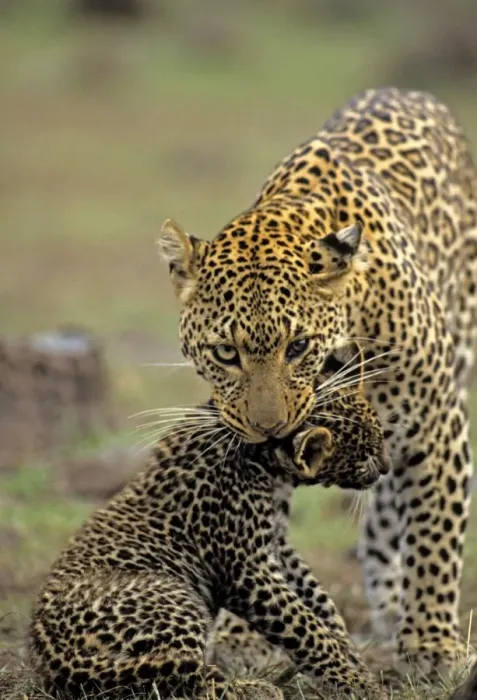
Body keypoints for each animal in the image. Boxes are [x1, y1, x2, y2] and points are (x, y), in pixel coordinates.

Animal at [29, 389, 389, 699]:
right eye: (367, 450)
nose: (386, 467)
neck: (267, 467)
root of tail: (50, 656)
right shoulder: (247, 569)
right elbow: (307, 628)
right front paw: (360, 684)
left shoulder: (276, 548)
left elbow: (322, 605)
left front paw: (356, 663)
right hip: (175, 597)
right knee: (184, 680)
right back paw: (257, 689)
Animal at [158, 86, 477, 676]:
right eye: (226, 353)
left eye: (299, 347)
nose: (269, 428)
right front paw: (244, 639)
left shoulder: (437, 426)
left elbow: (435, 537)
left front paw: (432, 647)